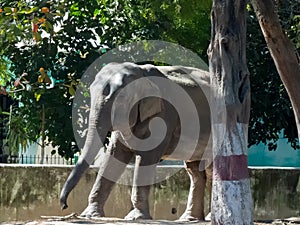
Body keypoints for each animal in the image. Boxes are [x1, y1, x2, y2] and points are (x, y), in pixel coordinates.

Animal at [59, 62, 213, 221]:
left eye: (121, 98)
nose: (64, 206)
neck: (142, 73)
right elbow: (113, 157)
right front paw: (90, 215)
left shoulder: (164, 116)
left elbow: (147, 157)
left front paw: (136, 217)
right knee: (196, 171)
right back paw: (190, 219)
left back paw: (205, 218)